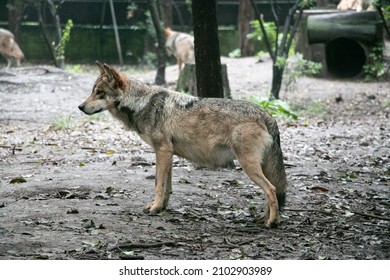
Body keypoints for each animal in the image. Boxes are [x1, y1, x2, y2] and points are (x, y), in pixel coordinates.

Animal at [78, 61, 286, 228]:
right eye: (92, 91)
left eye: (99, 93)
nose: (80, 107)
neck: (142, 103)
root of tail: (267, 115)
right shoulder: (168, 153)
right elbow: (166, 187)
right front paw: (161, 208)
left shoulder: (162, 151)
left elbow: (157, 184)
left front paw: (154, 208)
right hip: (259, 167)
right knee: (272, 191)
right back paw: (263, 218)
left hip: (249, 166)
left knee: (271, 190)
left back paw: (272, 222)